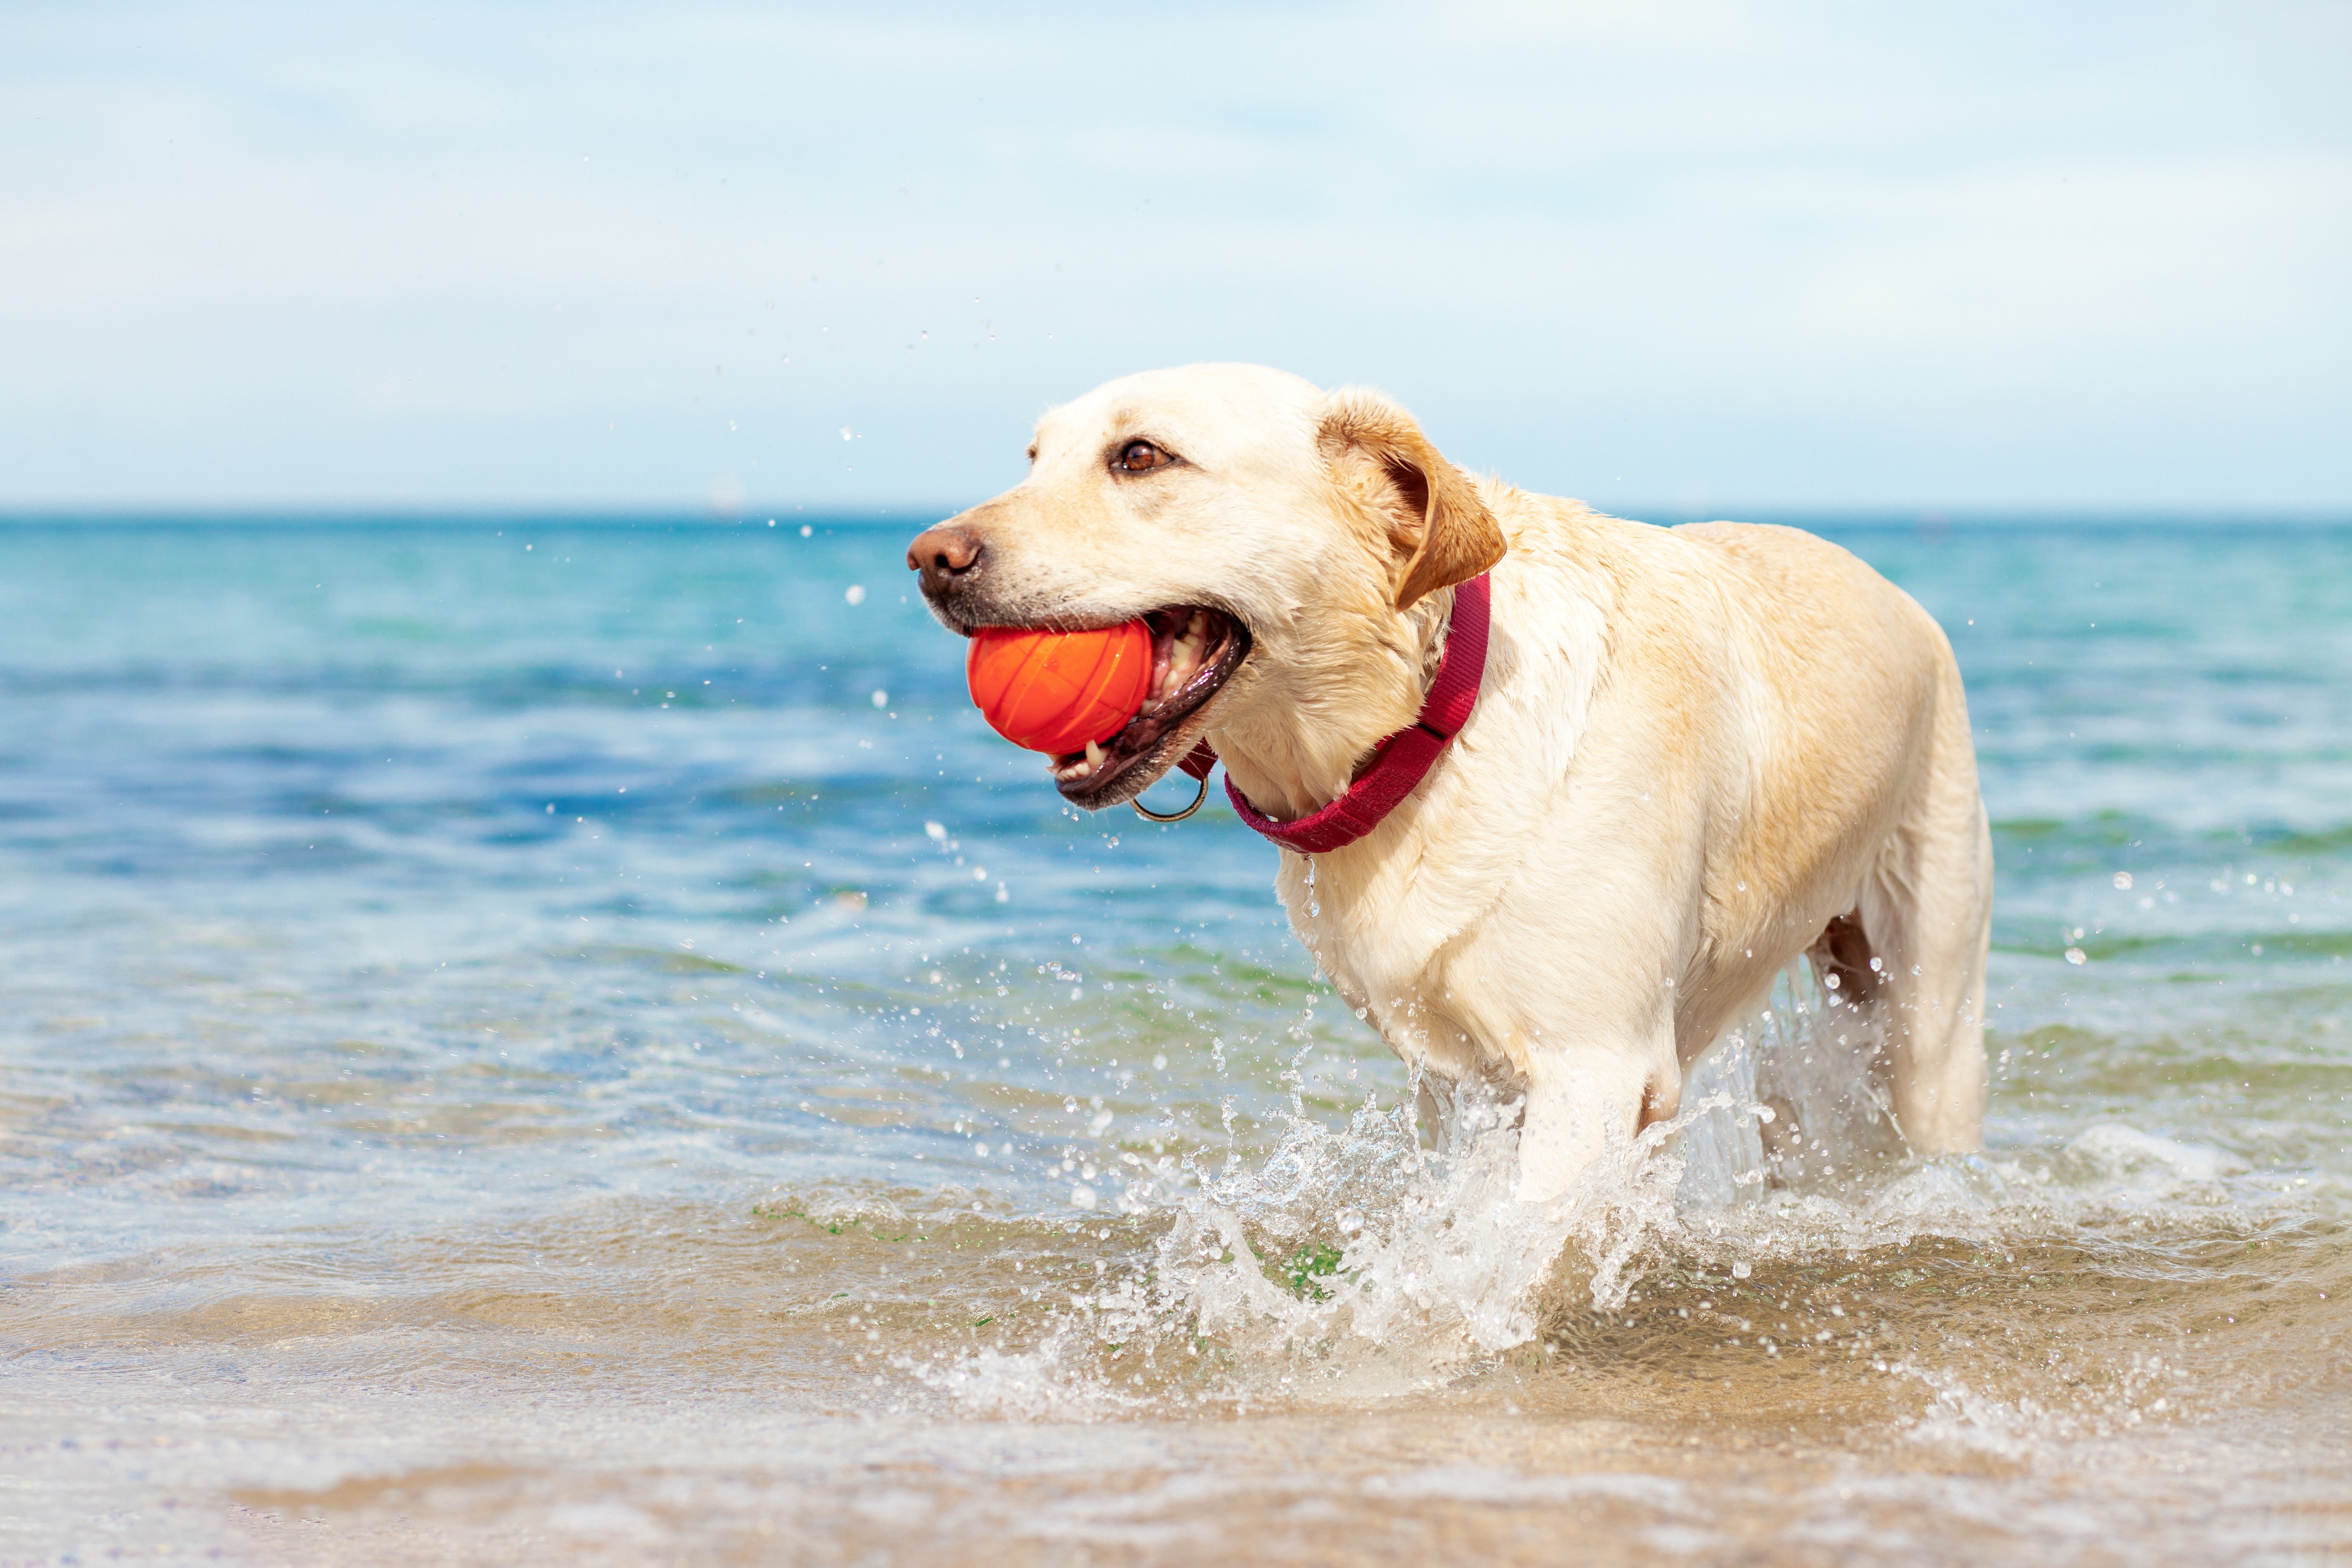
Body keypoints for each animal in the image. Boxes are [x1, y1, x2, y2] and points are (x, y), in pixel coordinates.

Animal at [898, 369, 1985, 1203]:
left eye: (1139, 457)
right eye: (1033, 457)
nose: (928, 558)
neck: (1424, 727)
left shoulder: (1595, 1067)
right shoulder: (1461, 1081)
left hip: (1927, 1013)